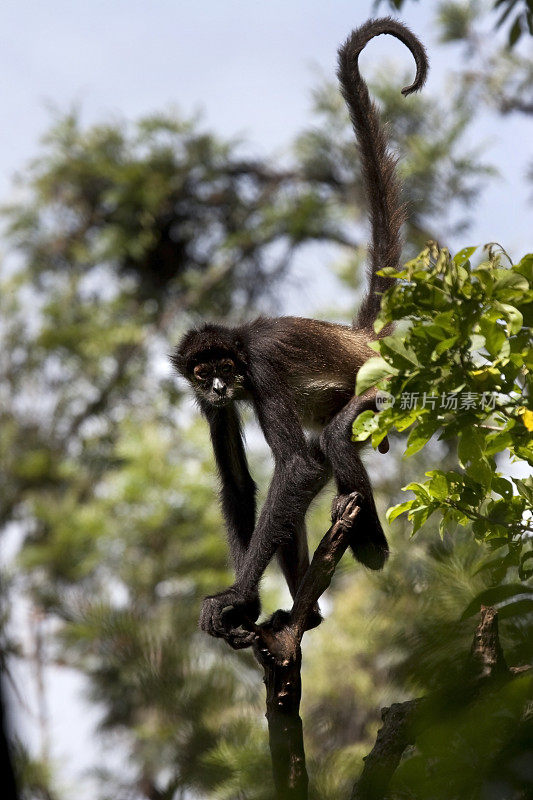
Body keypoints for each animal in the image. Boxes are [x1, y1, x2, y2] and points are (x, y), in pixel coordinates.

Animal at [171, 18, 428, 648]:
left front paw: (236, 596)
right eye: (202, 374)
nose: (219, 386)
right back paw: (300, 614)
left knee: (328, 444)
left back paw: (371, 547)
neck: (239, 346)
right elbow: (243, 485)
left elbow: (298, 468)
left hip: (391, 388)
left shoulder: (260, 364)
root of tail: (360, 339)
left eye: (225, 367)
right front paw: (245, 606)